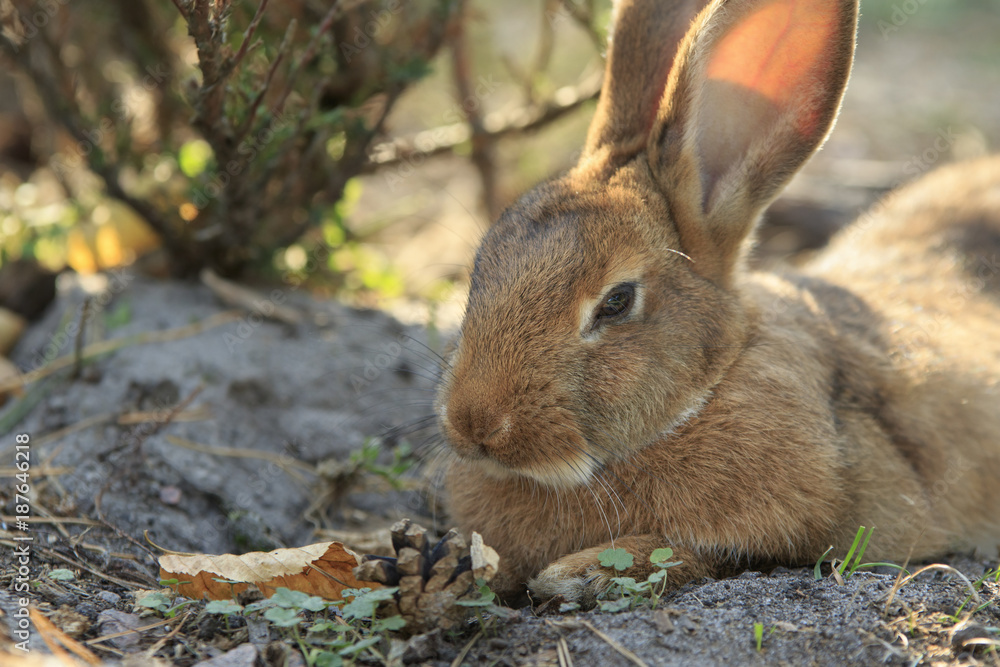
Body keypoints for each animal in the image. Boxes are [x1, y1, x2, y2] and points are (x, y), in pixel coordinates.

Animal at [434, 0, 1000, 605]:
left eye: (617, 301)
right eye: (481, 269)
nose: (474, 424)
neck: (710, 385)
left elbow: (705, 553)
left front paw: (577, 574)